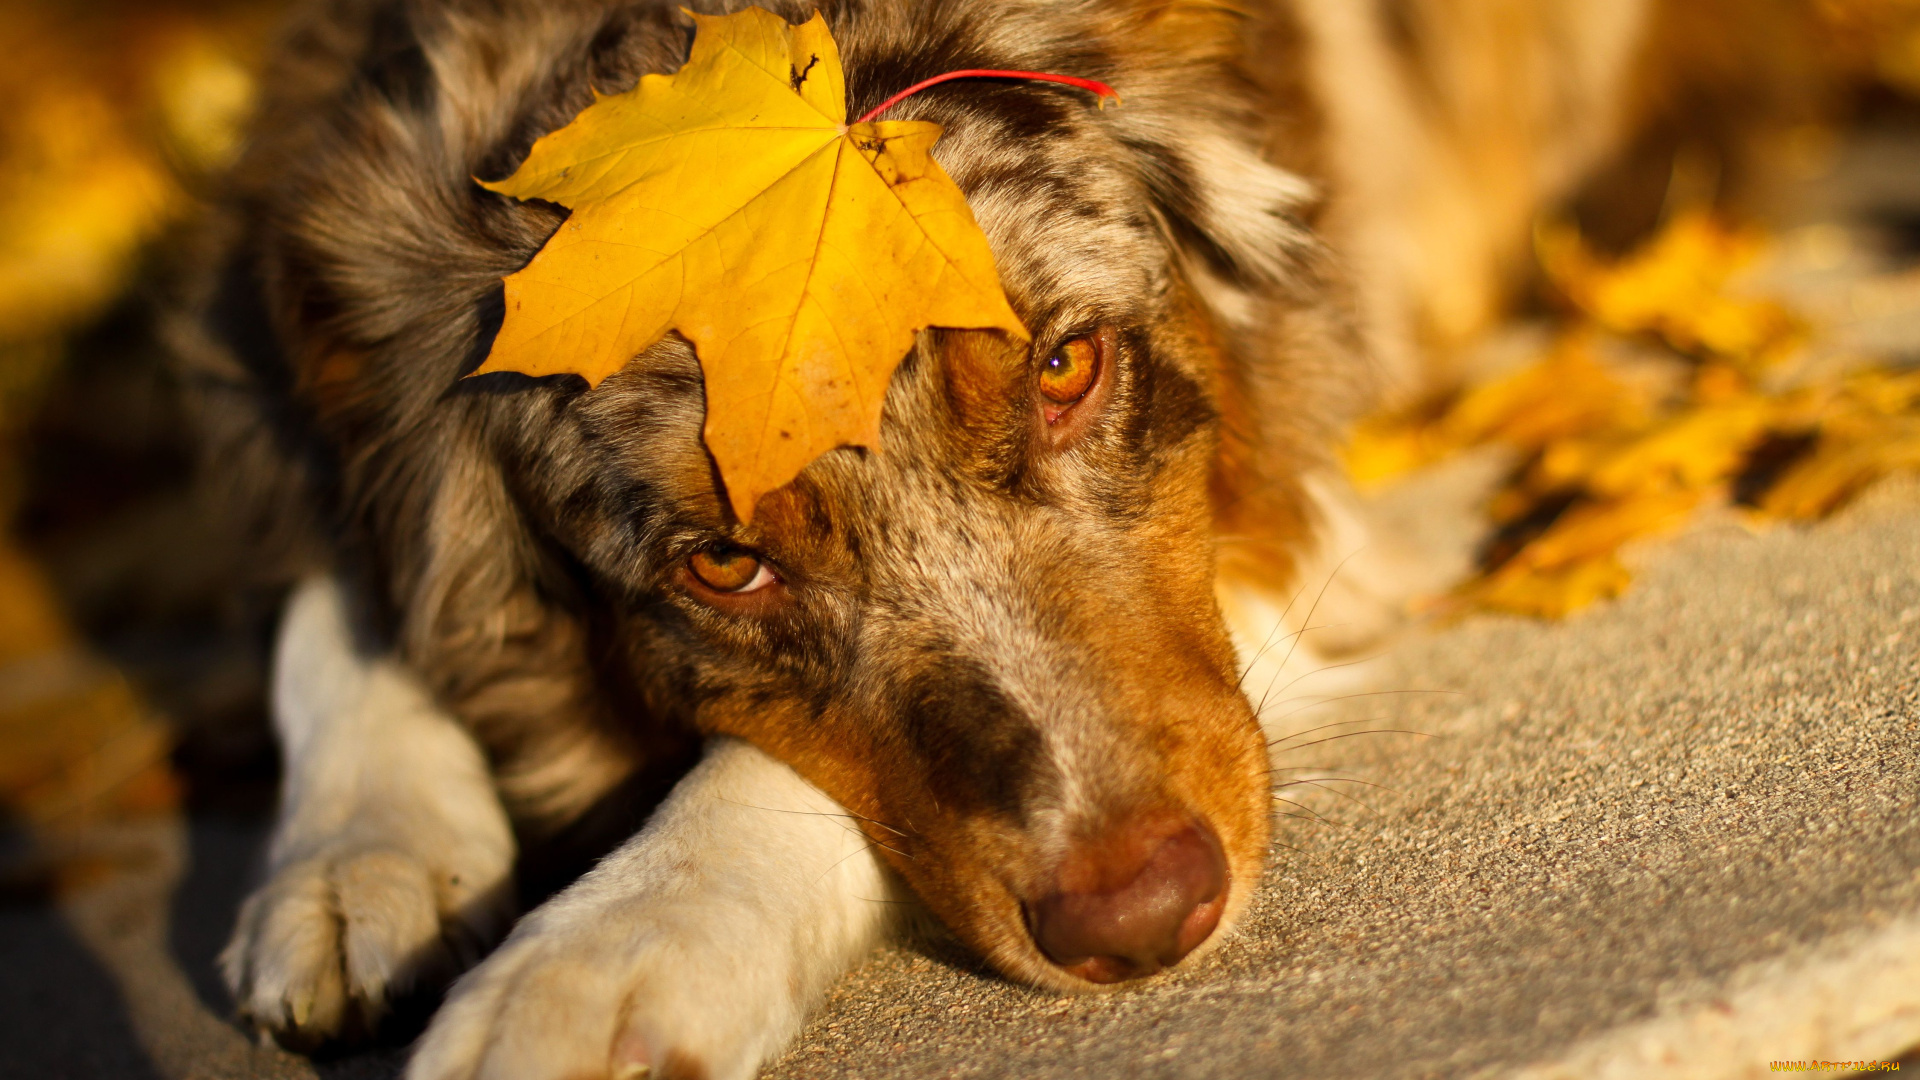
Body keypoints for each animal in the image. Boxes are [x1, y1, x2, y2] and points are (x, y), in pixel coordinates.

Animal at [165, 2, 1812, 1076]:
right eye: (723, 563)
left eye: (1066, 369)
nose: (1145, 922)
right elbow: (337, 602)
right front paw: (358, 852)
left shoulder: (1290, 519)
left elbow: (751, 775)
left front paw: (602, 957)